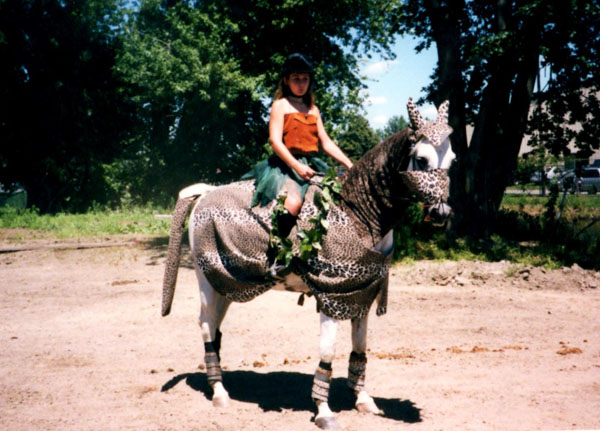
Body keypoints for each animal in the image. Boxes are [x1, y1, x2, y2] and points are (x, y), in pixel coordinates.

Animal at [159, 98, 454, 428]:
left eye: (452, 160)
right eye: (422, 159)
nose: (441, 213)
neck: (357, 211)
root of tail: (206, 194)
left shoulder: (360, 295)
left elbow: (360, 347)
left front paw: (364, 399)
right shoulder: (331, 297)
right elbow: (328, 351)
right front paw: (324, 411)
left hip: (227, 283)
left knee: (214, 325)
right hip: (207, 282)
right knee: (207, 326)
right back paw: (219, 392)